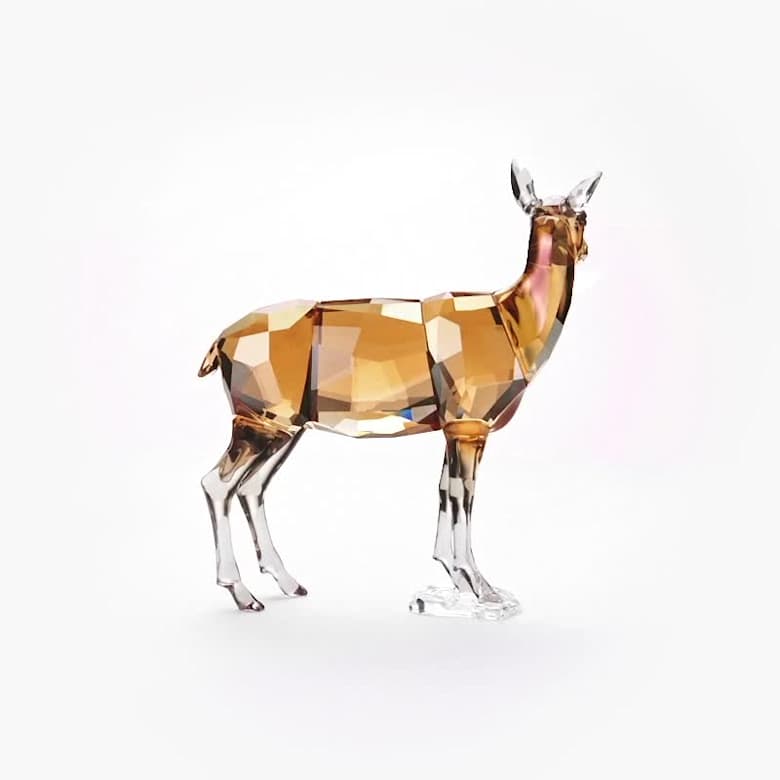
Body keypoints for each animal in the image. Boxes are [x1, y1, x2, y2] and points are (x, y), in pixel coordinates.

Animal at [198, 162, 601, 617]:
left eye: (580, 215)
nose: (581, 251)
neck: (512, 322)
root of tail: (218, 343)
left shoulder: (451, 426)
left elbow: (445, 490)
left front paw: (456, 580)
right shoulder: (469, 425)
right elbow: (464, 496)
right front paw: (484, 589)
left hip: (285, 428)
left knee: (251, 487)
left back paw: (289, 583)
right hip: (258, 421)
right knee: (217, 483)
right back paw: (242, 594)